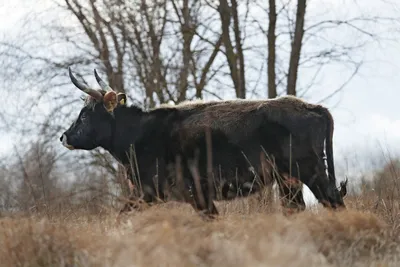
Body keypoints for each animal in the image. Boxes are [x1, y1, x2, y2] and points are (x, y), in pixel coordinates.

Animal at [59, 68, 346, 219]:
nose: (64, 136)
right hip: (289, 180)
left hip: (310, 171)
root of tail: (311, 106)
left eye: (84, 115)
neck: (140, 135)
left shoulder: (157, 192)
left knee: (334, 201)